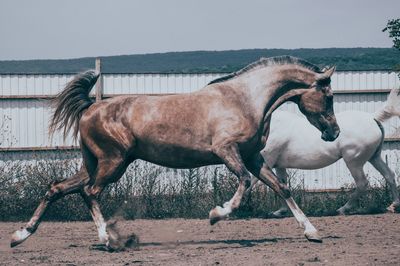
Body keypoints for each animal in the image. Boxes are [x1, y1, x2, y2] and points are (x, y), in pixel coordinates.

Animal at [10, 55, 340, 249]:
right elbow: (245, 183)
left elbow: (282, 188)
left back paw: (20, 235)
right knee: (90, 192)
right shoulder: (227, 150)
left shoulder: (252, 156)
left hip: (97, 163)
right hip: (112, 163)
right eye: (329, 96)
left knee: (58, 188)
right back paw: (108, 239)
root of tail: (91, 107)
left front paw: (312, 232)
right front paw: (216, 215)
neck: (245, 99)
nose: (334, 133)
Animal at [250, 88, 400, 215]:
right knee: (389, 175)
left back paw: (342, 209)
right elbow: (281, 185)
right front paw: (281, 211)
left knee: (362, 183)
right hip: (374, 157)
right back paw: (393, 206)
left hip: (354, 162)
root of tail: (373, 117)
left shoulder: (264, 162)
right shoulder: (279, 165)